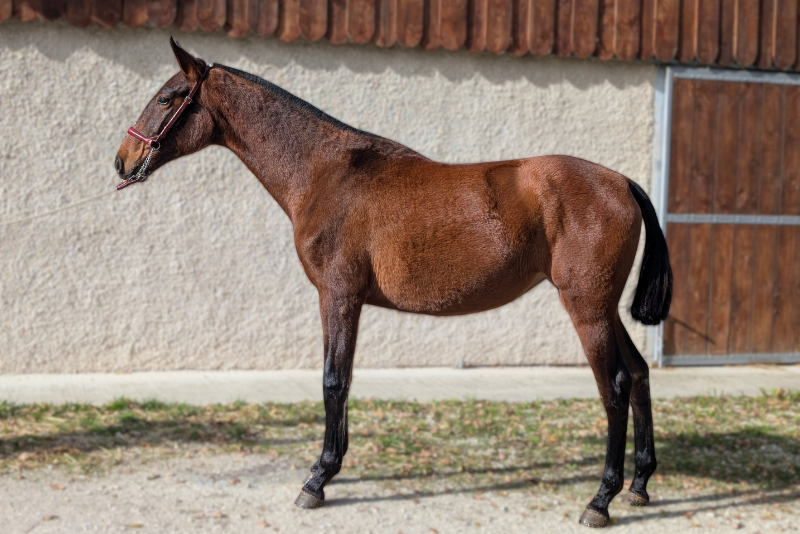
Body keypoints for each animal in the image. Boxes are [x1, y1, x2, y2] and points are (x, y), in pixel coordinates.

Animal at [115, 38, 672, 529]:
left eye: (166, 98)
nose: (121, 161)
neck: (326, 173)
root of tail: (621, 181)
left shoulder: (337, 296)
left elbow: (332, 381)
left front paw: (317, 480)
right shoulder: (351, 301)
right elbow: (343, 380)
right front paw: (330, 468)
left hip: (586, 309)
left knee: (615, 386)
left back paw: (601, 499)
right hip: (604, 308)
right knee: (640, 373)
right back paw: (640, 485)